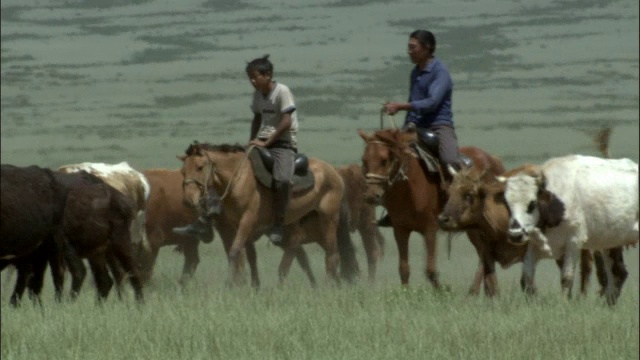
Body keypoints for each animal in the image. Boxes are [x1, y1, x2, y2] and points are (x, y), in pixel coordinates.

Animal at [179, 142, 360, 286]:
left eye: (200, 167)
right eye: (183, 171)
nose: (189, 199)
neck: (239, 179)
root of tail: (334, 172)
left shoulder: (247, 222)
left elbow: (235, 251)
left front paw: (229, 284)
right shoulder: (241, 226)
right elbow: (251, 256)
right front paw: (255, 287)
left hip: (328, 221)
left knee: (332, 256)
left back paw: (328, 286)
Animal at [358, 128, 502, 288]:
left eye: (384, 160)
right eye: (364, 160)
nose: (371, 196)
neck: (409, 189)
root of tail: (493, 160)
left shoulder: (430, 230)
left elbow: (431, 270)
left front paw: (443, 290)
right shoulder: (400, 230)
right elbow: (404, 268)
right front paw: (405, 292)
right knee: (485, 254)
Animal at [502, 155, 636, 304]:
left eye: (532, 203)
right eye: (507, 203)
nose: (515, 235)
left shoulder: (574, 242)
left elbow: (566, 278)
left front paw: (563, 304)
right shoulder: (536, 245)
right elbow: (526, 278)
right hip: (609, 242)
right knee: (618, 273)